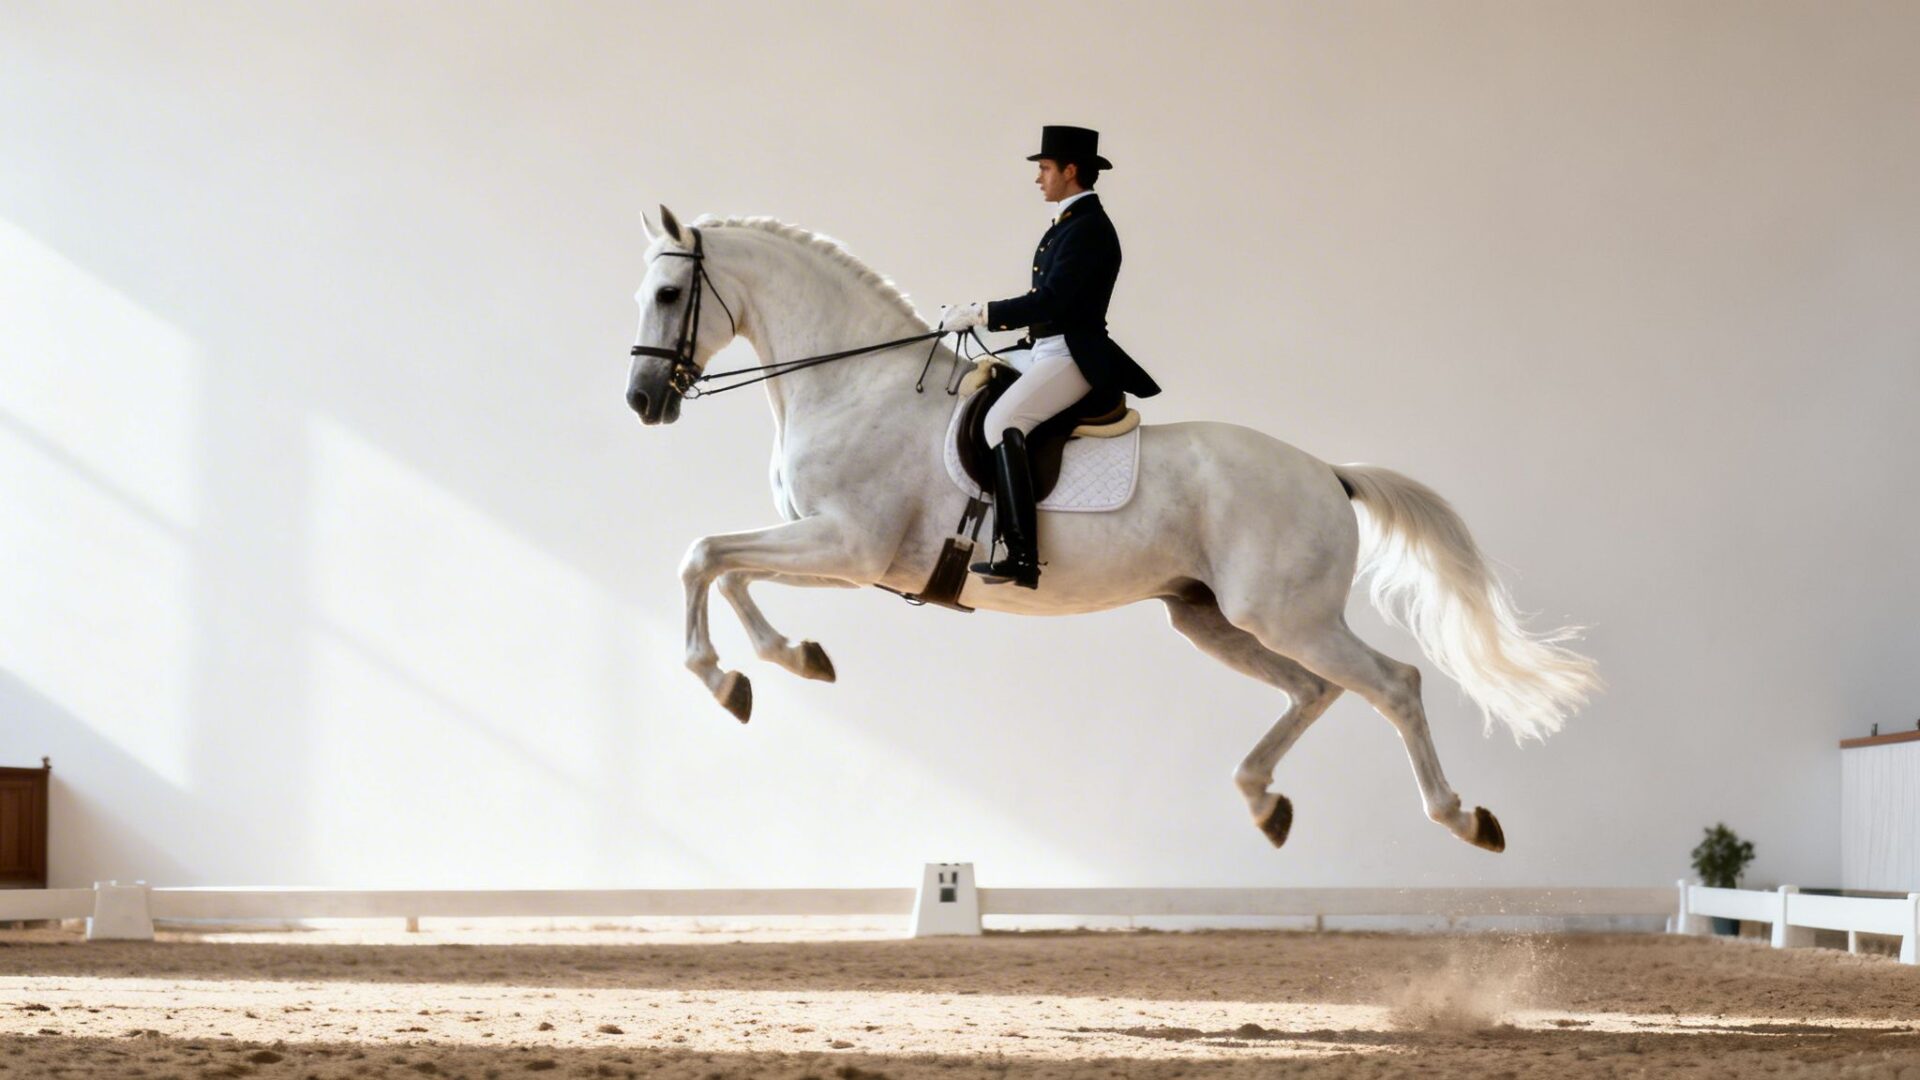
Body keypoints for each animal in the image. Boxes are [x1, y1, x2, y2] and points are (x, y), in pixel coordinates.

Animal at [626, 205, 1599, 853]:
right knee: (1311, 691)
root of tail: (1327, 472)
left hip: (1286, 616)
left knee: (1393, 684)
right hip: (1210, 617)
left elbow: (701, 556)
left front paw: (724, 677)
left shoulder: (849, 542)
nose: (642, 402)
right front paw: (785, 661)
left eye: (670, 292)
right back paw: (1263, 801)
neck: (855, 385)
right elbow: (727, 567)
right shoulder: (848, 555)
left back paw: (1463, 817)